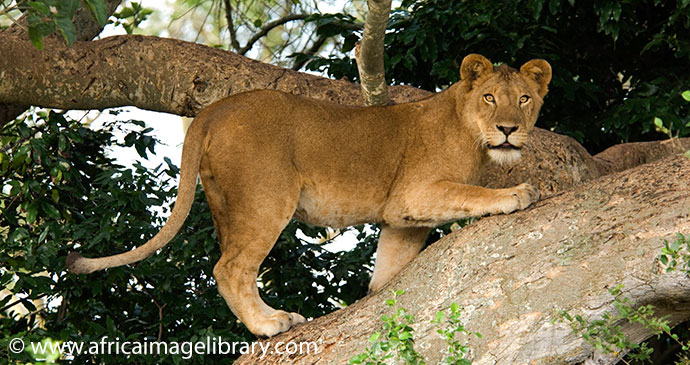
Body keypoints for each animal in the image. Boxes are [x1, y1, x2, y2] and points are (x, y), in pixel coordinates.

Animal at [67, 53, 552, 336]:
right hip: (266, 199)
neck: (472, 133)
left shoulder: (401, 220)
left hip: (225, 201)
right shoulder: (412, 194)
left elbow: (387, 275)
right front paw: (516, 193)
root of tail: (214, 108)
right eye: (489, 97)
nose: (508, 129)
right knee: (230, 268)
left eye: (524, 99)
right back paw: (270, 324)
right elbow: (472, 192)